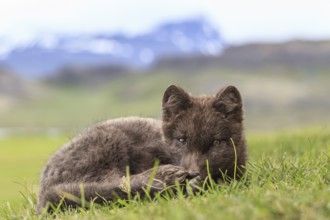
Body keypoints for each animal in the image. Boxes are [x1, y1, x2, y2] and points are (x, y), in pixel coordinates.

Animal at [37, 85, 246, 214]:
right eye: (182, 140)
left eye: (216, 142)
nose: (193, 174)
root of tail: (41, 191)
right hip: (111, 145)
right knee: (112, 185)